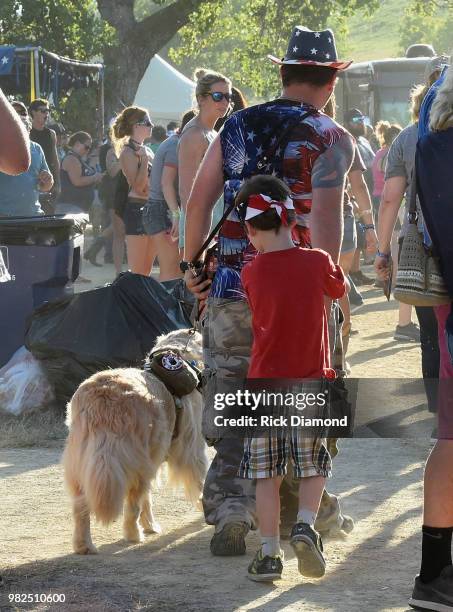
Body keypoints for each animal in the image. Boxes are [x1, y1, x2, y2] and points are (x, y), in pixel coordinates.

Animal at [61, 330, 207, 556]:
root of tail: (103, 402)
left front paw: (150, 525)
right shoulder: (191, 448)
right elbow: (200, 481)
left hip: (83, 464)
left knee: (81, 506)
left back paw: (84, 545)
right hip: (134, 461)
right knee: (132, 504)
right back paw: (133, 535)